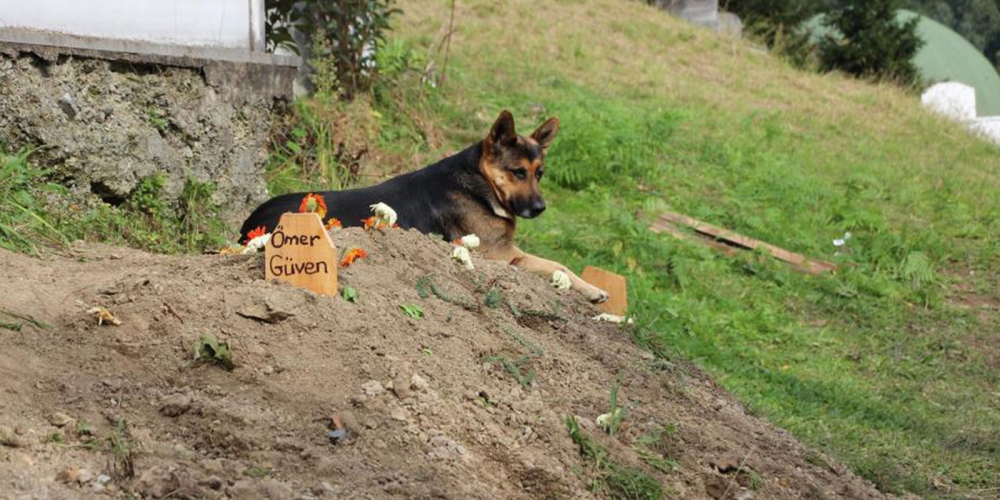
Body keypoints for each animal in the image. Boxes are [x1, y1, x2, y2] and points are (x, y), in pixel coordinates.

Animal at [244, 109, 608, 302]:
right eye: (518, 172)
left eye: (539, 173)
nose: (540, 207)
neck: (479, 182)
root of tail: (248, 223)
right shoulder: (501, 255)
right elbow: (559, 265)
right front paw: (594, 291)